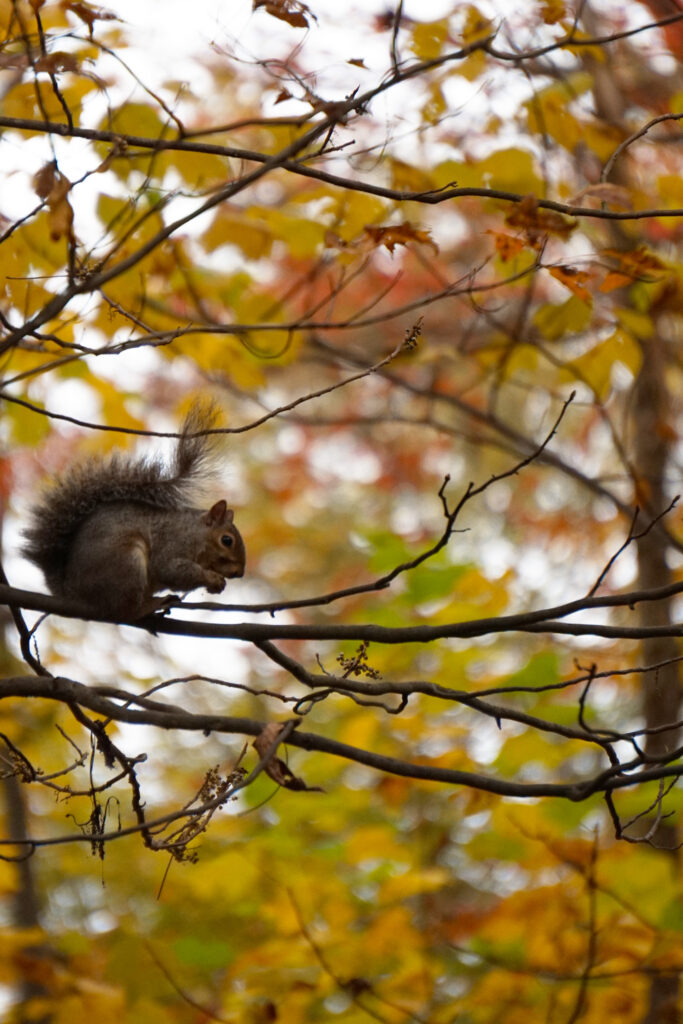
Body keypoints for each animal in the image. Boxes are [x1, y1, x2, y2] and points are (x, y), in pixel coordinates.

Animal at [22, 402, 246, 622]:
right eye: (227, 540)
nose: (239, 573)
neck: (196, 534)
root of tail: (72, 593)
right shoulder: (172, 544)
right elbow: (171, 570)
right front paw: (211, 578)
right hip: (127, 562)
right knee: (124, 610)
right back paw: (152, 605)